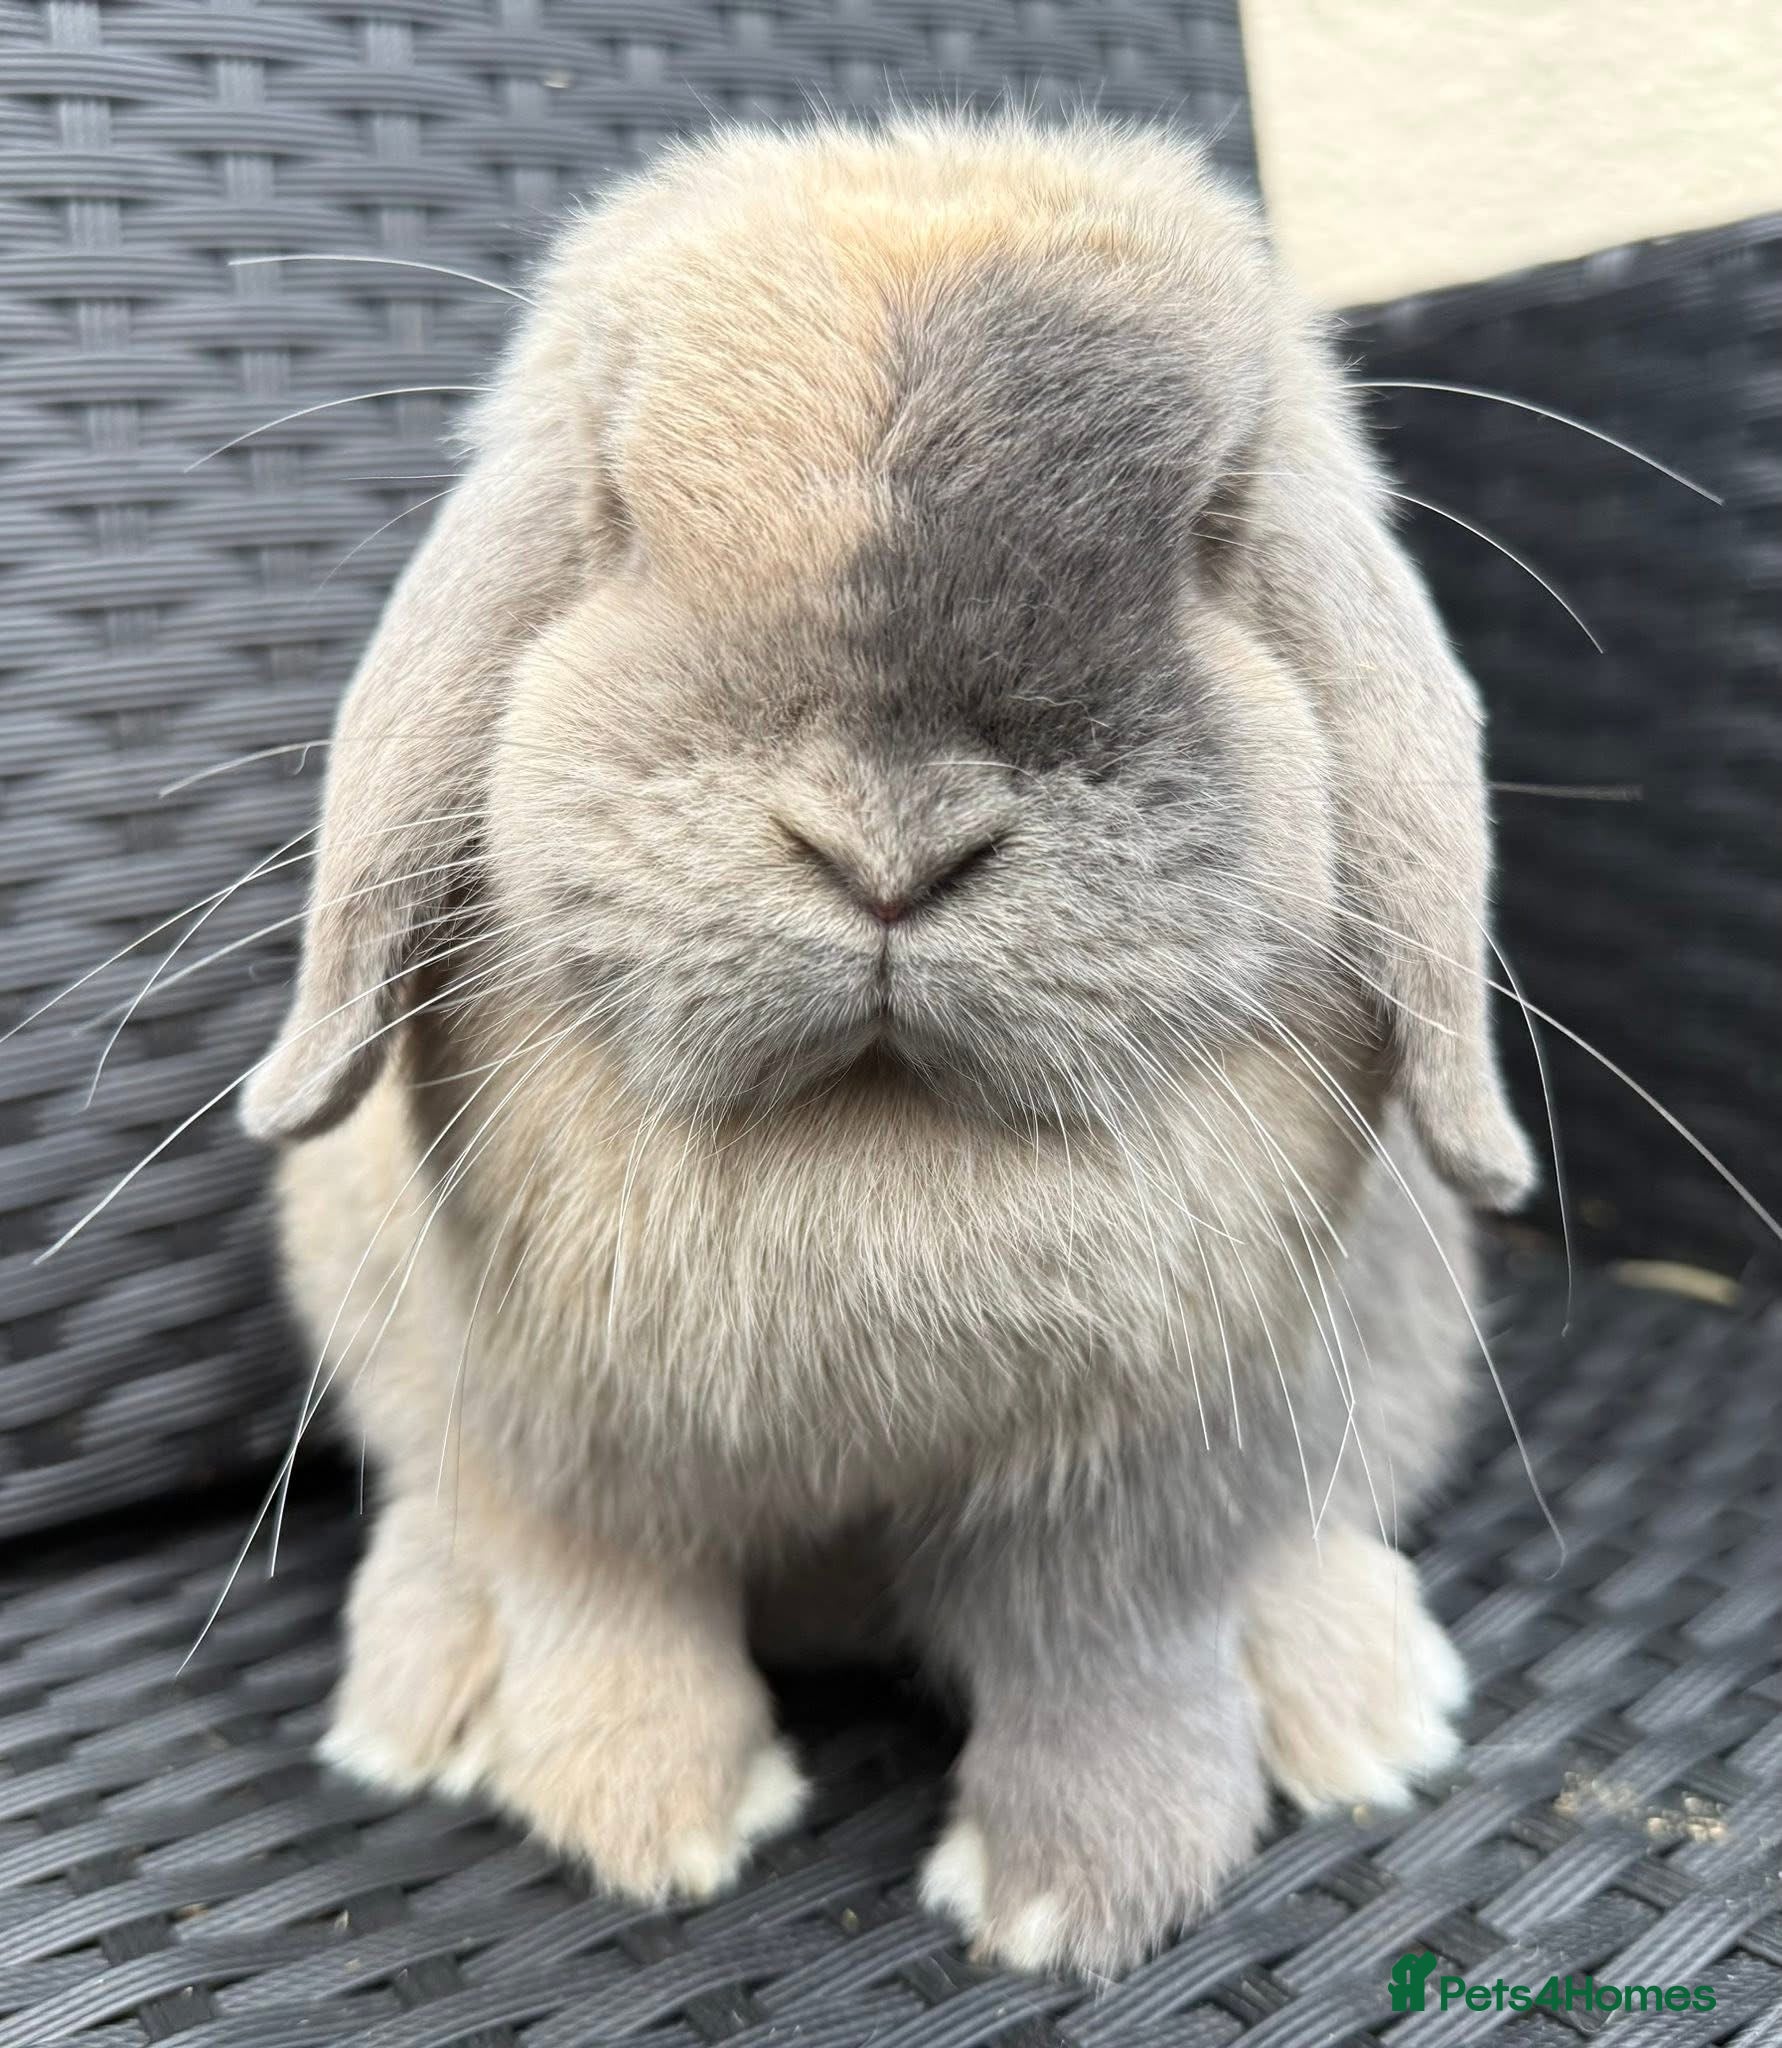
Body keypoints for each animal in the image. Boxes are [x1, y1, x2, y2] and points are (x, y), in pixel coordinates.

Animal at [243, 110, 1533, 1977]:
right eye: (613, 510)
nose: (886, 845)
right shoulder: (571, 1458)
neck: (876, 1142)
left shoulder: (1145, 1493)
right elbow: (607, 1618)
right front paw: (653, 1827)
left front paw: (1072, 1900)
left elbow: (1109, 1669)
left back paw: (1364, 1704)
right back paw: (409, 1700)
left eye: (1214, 526)